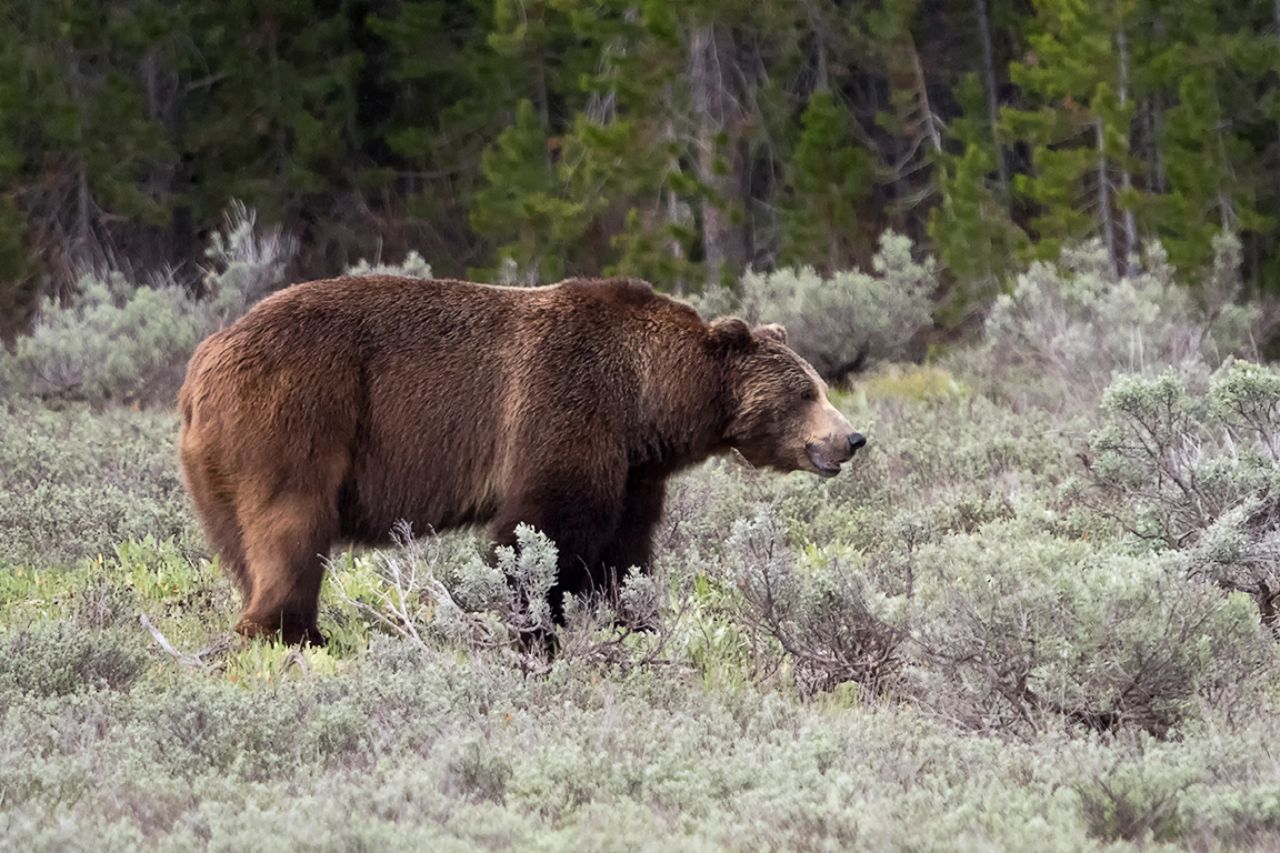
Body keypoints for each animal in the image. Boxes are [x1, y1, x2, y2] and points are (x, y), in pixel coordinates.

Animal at [177, 275, 866, 644]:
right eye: (806, 393)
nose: (852, 438)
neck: (647, 399)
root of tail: (201, 362)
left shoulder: (634, 465)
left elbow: (625, 547)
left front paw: (629, 617)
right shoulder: (566, 405)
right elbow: (544, 529)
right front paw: (536, 626)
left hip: (218, 469)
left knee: (245, 546)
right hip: (295, 417)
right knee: (290, 530)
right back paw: (292, 633)